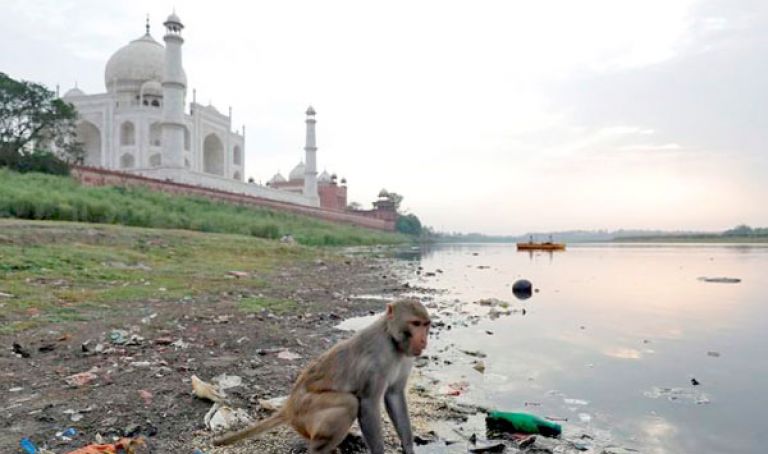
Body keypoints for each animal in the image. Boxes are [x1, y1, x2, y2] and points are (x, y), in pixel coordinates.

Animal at [214, 298, 432, 454]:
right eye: (415, 323)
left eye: (426, 324)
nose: (423, 340)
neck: (392, 340)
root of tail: (288, 406)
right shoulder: (376, 362)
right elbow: (369, 403)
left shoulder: (406, 357)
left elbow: (394, 396)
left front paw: (409, 448)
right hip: (305, 411)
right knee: (350, 403)